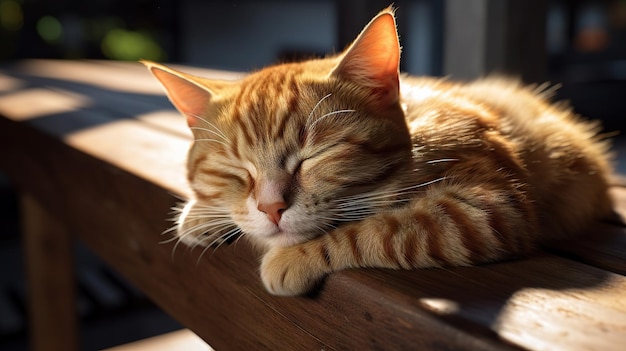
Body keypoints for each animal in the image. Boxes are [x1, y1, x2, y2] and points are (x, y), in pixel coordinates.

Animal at [140, 6, 608, 296]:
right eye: (235, 170)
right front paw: (203, 214)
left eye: (316, 156)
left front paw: (292, 257)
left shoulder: (486, 209)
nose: (271, 208)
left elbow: (381, 230)